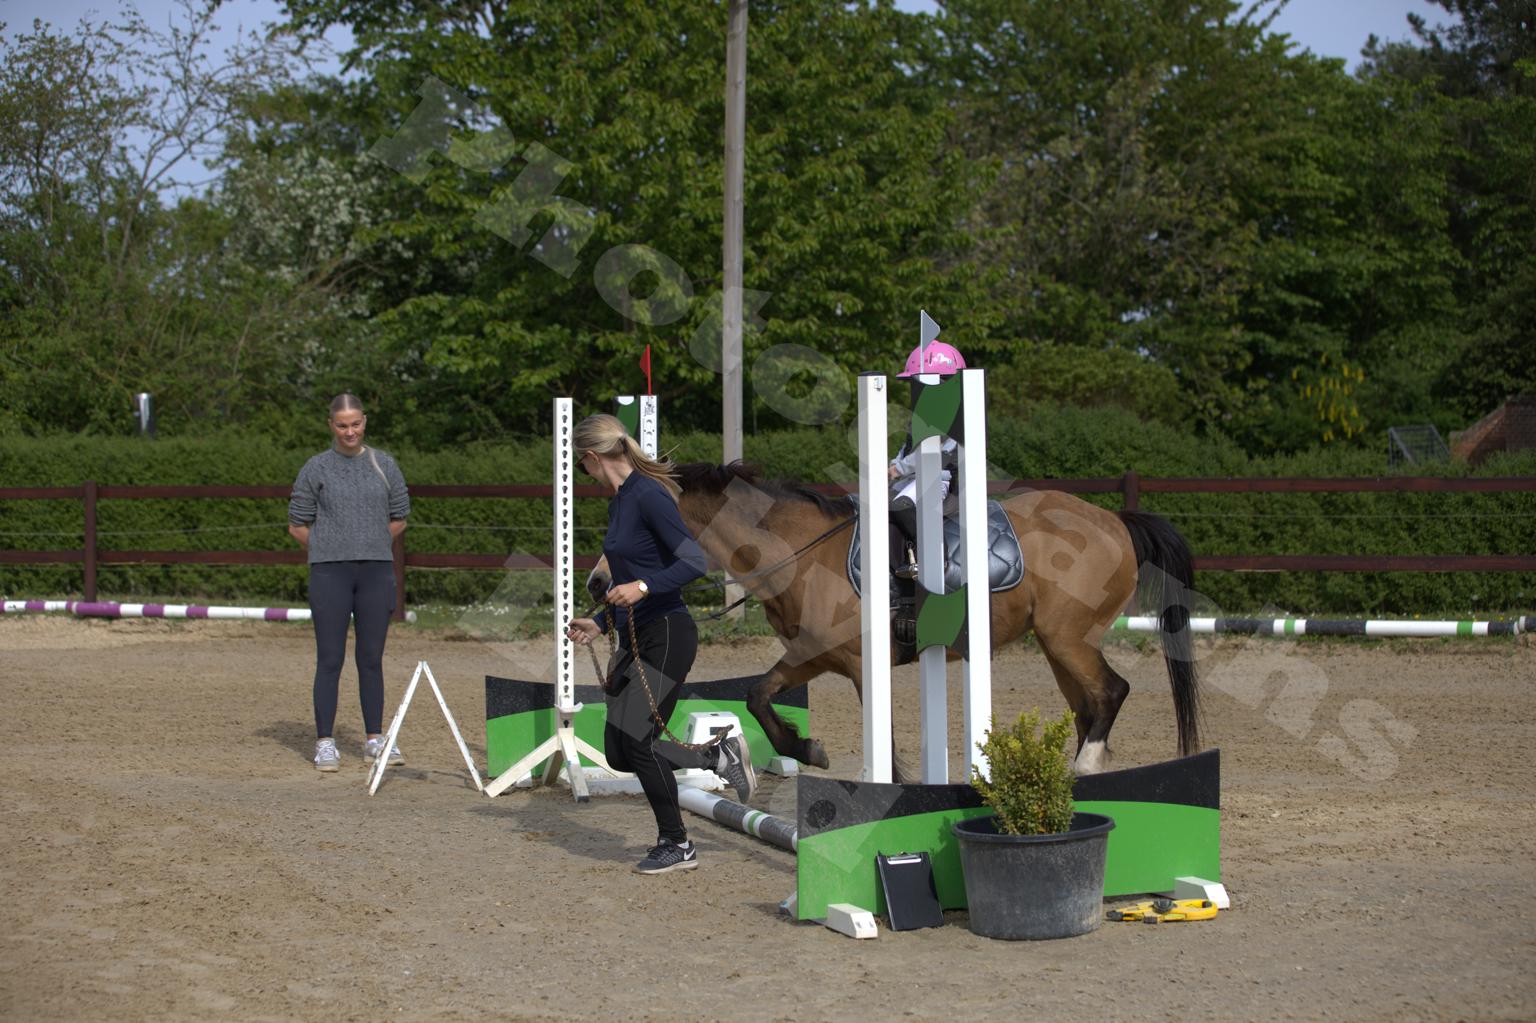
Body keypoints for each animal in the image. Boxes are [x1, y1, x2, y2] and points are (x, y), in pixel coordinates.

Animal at [588, 461, 1201, 781]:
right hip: (1058, 646)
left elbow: (872, 732)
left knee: (1111, 692)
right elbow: (760, 696)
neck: (800, 553)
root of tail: (1113, 519)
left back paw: (1086, 767)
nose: (597, 584)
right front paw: (807, 750)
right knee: (1088, 705)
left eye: (639, 527)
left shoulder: (860, 662)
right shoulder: (815, 656)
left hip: (1068, 637)